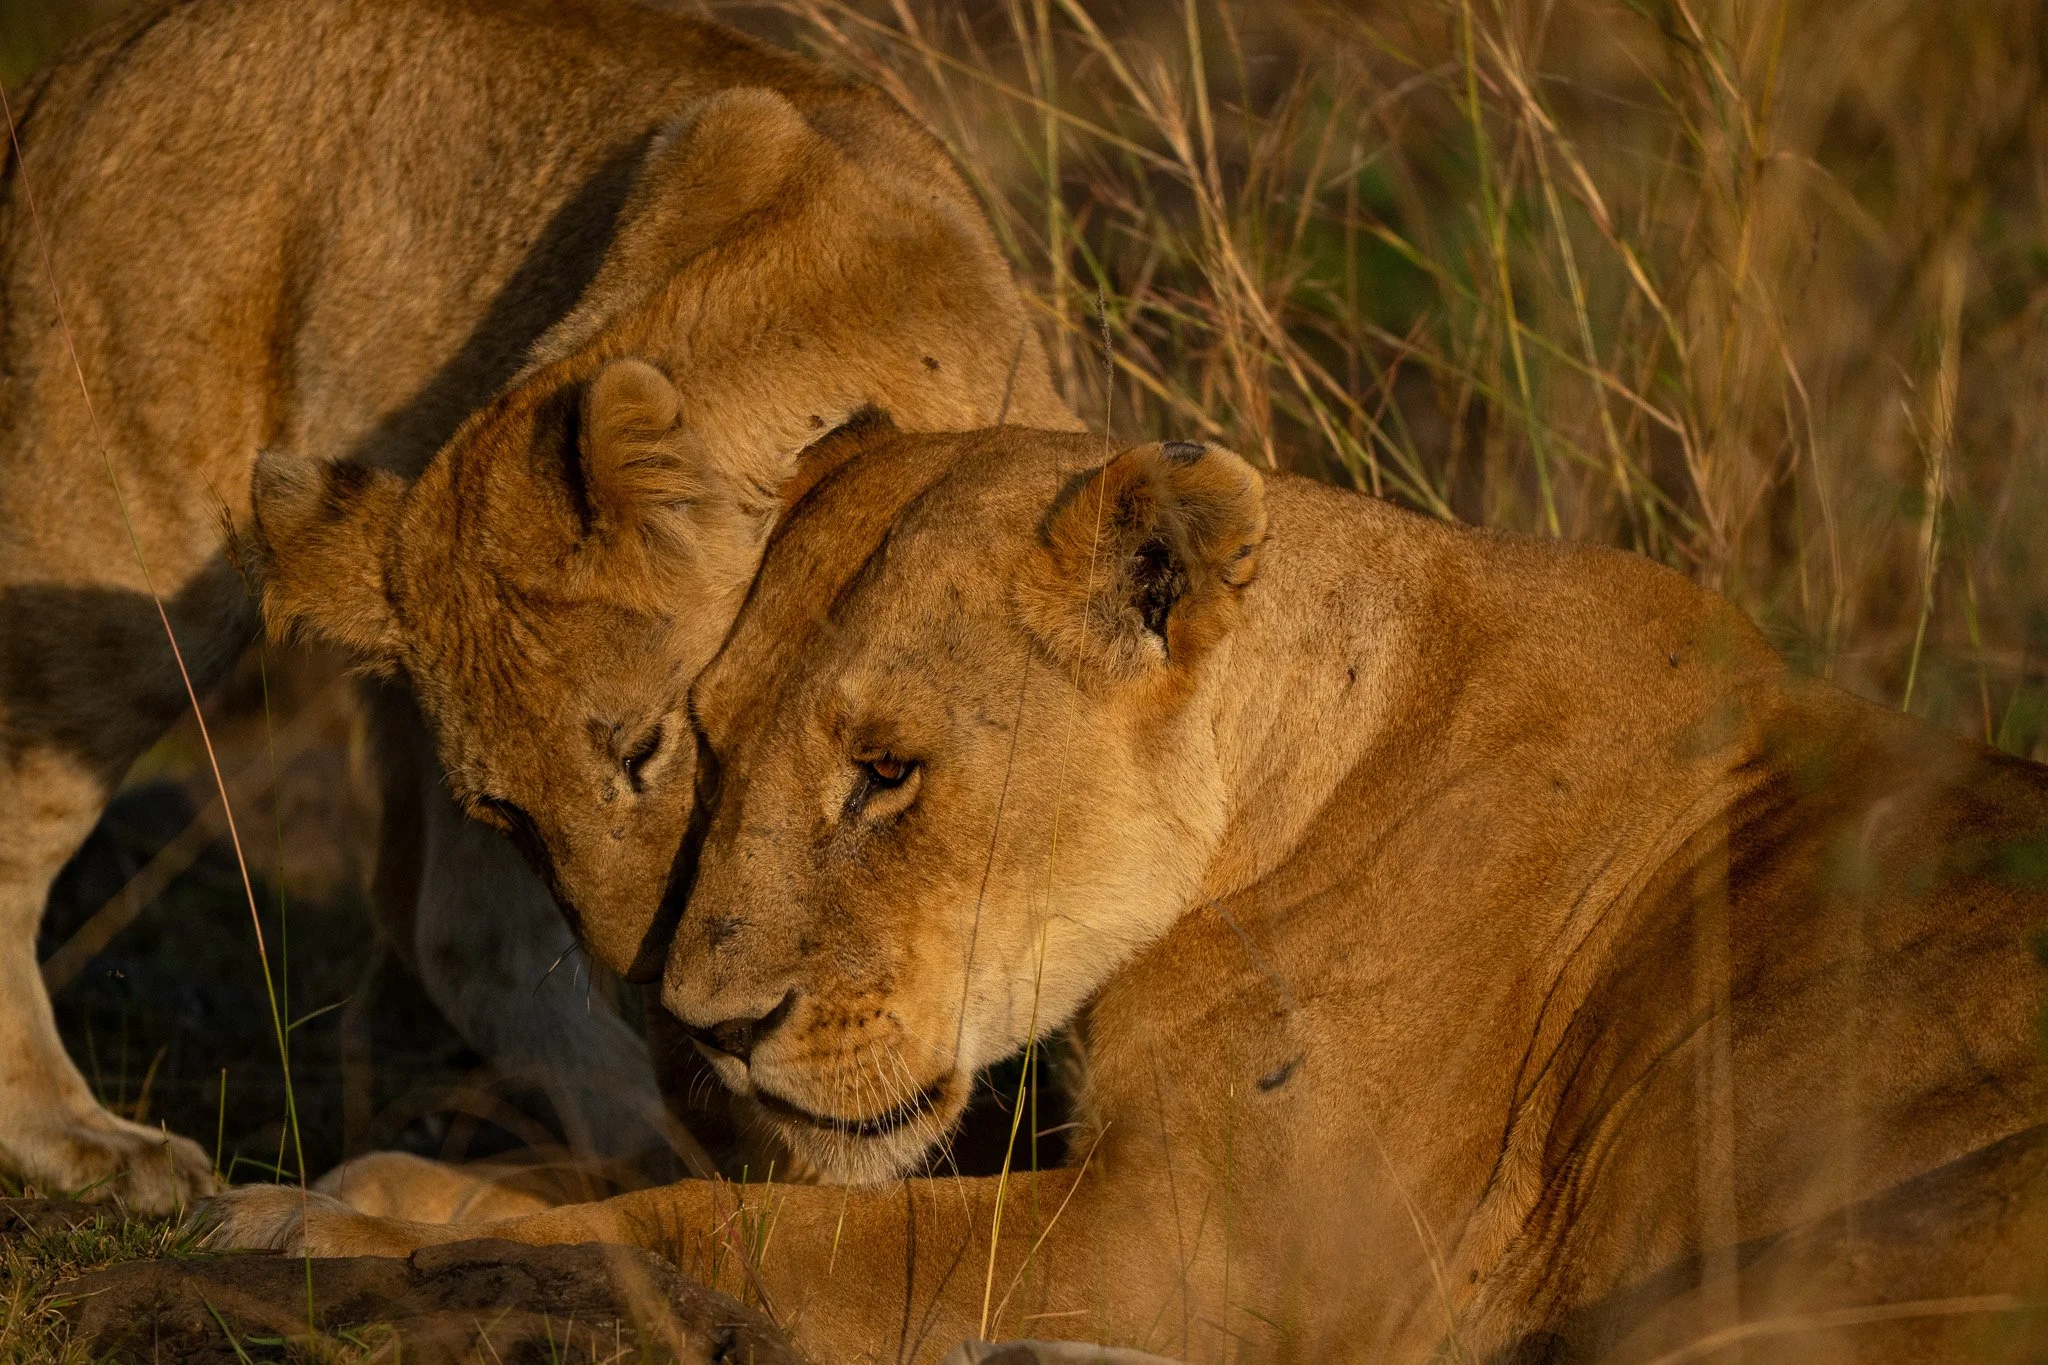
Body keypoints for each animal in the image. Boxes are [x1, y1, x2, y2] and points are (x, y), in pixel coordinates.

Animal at [0, 0, 1074, 1213]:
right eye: (507, 813)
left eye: (646, 748)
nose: (645, 972)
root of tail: (68, 70)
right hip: (115, 567)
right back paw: (91, 1139)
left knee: (453, 931)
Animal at [200, 421, 2048, 1362]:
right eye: (705, 745)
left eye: (888, 773)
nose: (706, 1024)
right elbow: (656, 1175)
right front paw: (367, 1187)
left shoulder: (1220, 1250)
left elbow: (750, 1228)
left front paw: (363, 1229)